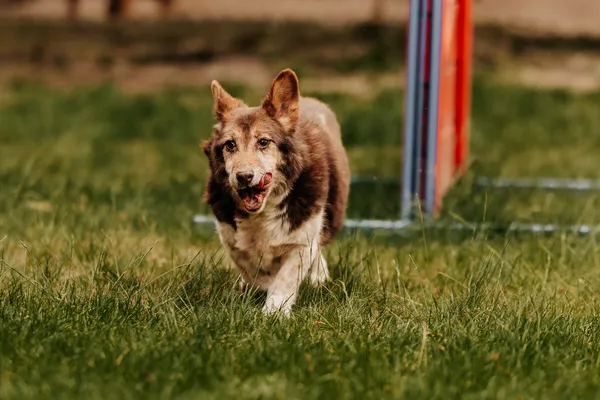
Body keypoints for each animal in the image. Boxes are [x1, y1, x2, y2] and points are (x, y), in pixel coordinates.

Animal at [203, 69, 352, 316]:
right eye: (230, 145)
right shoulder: (229, 236)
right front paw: (256, 286)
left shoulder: (302, 240)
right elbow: (250, 267)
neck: (263, 211)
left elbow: (285, 278)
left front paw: (273, 313)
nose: (243, 176)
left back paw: (318, 277)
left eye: (264, 142)